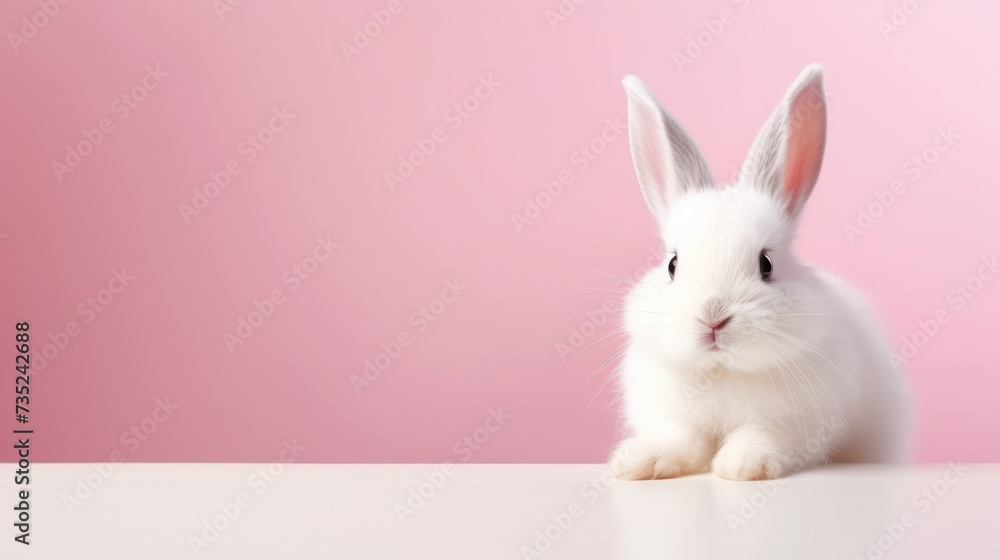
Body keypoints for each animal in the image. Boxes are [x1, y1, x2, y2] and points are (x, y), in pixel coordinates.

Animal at [610, 64, 911, 481]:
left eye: (765, 265)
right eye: (672, 264)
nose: (713, 318)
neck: (723, 371)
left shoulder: (796, 424)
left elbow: (762, 435)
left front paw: (741, 466)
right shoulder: (672, 416)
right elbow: (681, 439)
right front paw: (640, 463)